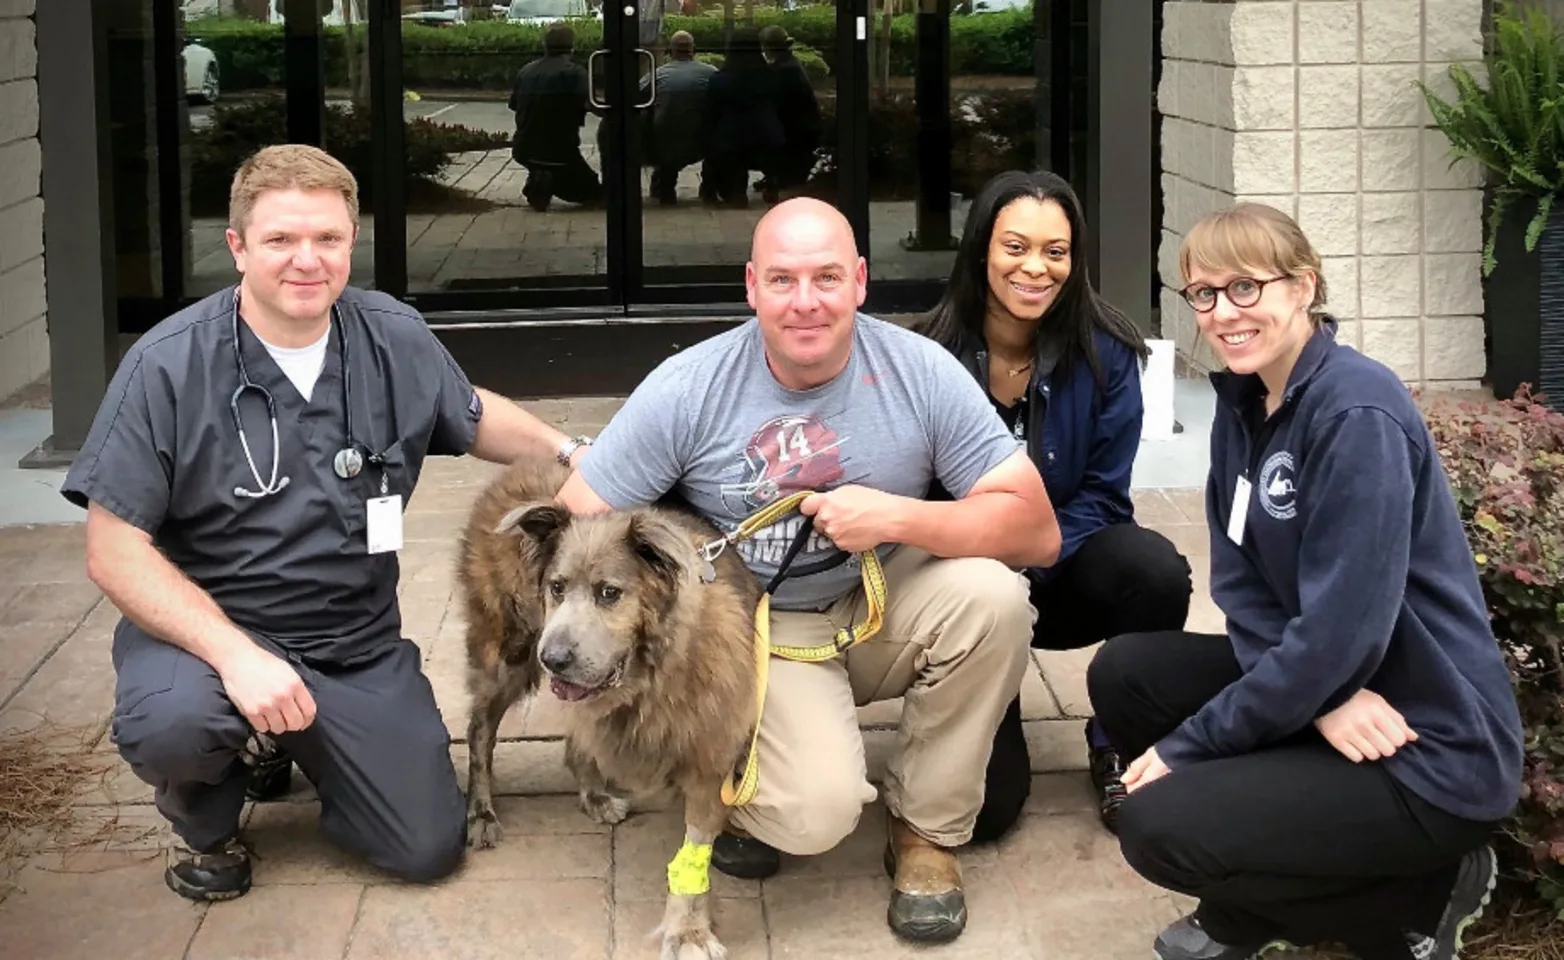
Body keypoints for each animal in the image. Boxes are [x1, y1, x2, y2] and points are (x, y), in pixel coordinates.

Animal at [453, 459, 763, 960]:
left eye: (609, 593)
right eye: (556, 588)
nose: (552, 658)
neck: (652, 677)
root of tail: (516, 469)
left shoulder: (710, 757)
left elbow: (694, 853)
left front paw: (688, 928)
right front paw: (688, 932)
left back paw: (594, 793)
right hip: (508, 654)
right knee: (481, 729)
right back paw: (481, 812)